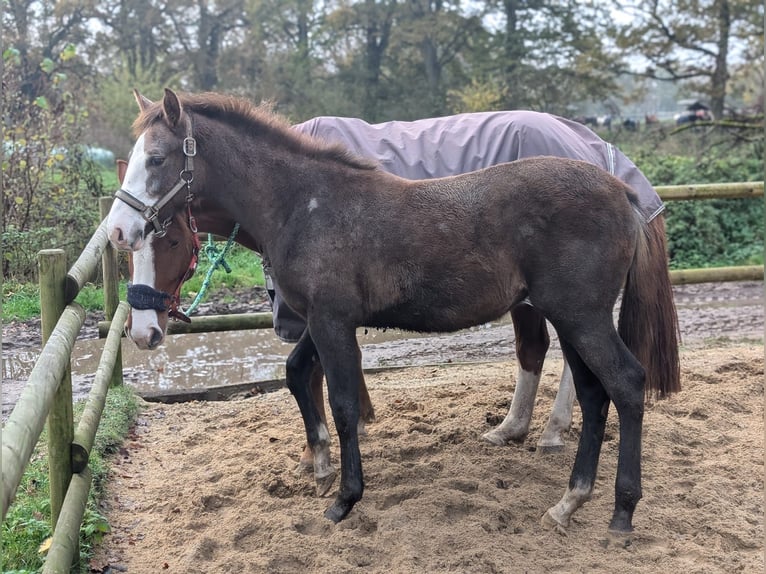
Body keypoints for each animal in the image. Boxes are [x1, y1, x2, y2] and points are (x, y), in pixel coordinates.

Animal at [105, 89, 680, 536]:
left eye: (157, 159)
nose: (117, 230)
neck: (303, 204)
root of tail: (621, 189)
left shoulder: (331, 321)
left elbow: (342, 404)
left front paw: (344, 498)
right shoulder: (324, 320)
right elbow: (298, 374)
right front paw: (319, 465)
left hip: (582, 316)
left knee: (625, 384)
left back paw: (621, 511)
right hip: (571, 317)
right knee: (593, 394)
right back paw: (567, 501)